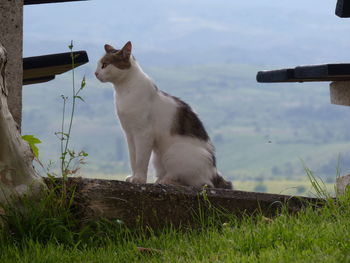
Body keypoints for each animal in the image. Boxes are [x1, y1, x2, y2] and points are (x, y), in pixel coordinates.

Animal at [95, 41, 232, 190]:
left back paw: (167, 181)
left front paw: (139, 179)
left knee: (200, 183)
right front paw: (133, 176)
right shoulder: (130, 134)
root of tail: (215, 172)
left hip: (173, 152)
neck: (123, 90)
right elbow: (133, 158)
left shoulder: (143, 133)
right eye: (98, 64)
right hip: (158, 157)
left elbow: (141, 160)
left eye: (104, 65)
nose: (95, 73)